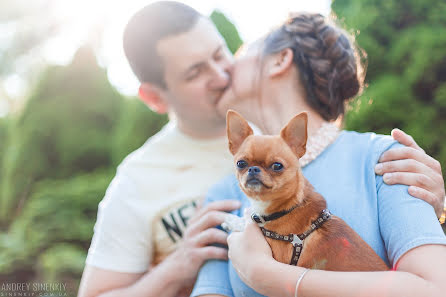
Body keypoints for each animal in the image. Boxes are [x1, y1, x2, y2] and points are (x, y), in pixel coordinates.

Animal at [226, 109, 386, 270]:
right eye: (241, 163)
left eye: (277, 166)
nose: (253, 169)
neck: (287, 207)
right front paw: (232, 220)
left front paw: (234, 222)